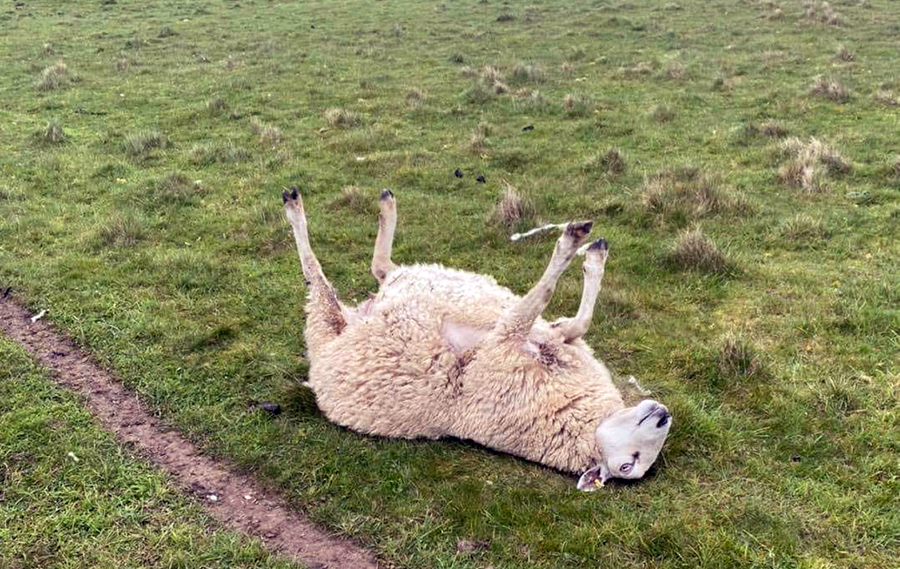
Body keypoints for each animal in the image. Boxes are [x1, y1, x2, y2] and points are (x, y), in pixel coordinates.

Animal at [281, 187, 672, 489]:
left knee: (324, 273)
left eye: (627, 466)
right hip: (370, 297)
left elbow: (542, 300)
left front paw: (574, 245)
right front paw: (591, 255)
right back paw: (378, 204)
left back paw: (298, 207)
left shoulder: (501, 345)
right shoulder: (546, 336)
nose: (664, 415)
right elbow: (573, 318)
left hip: (328, 320)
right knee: (379, 268)